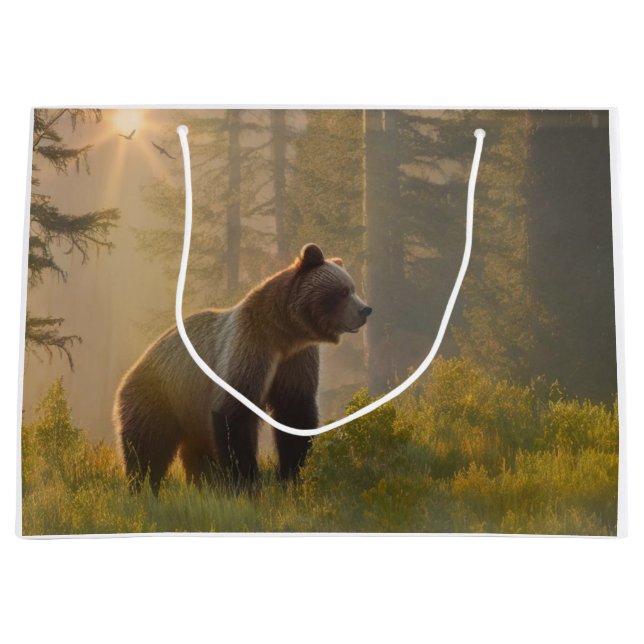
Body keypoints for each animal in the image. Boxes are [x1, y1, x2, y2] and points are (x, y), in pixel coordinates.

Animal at [113, 243, 372, 494]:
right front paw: (246, 481)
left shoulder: (296, 360)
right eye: (343, 291)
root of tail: (133, 368)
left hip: (190, 409)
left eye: (352, 287)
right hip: (159, 396)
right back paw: (143, 487)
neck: (283, 333)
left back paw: (203, 484)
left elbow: (294, 414)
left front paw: (290, 476)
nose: (365, 310)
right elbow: (234, 412)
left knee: (195, 450)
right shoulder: (249, 346)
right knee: (148, 446)